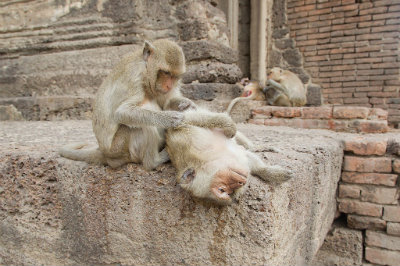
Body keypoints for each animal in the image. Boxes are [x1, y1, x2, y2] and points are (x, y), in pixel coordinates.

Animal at [60, 39, 196, 170]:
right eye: (166, 72)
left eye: (175, 76)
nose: (169, 86)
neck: (146, 71)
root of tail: (106, 155)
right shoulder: (134, 77)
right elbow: (122, 112)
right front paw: (169, 118)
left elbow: (165, 102)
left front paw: (186, 104)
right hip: (120, 147)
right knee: (144, 120)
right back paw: (153, 162)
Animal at [166, 107, 294, 205]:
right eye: (226, 191)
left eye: (222, 188)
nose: (240, 183)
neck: (211, 158)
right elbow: (250, 160)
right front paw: (268, 172)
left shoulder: (186, 141)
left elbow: (186, 120)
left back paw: (256, 146)